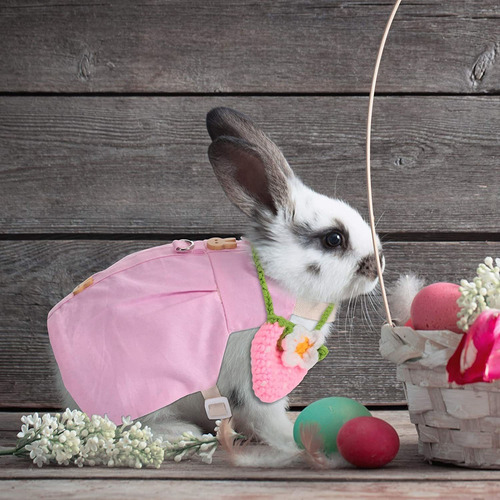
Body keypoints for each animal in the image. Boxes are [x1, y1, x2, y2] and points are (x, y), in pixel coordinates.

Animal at [52, 106, 384, 468]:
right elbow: (265, 416)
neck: (277, 280)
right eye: (333, 239)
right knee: (128, 428)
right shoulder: (253, 380)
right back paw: (181, 436)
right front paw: (292, 440)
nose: (377, 265)